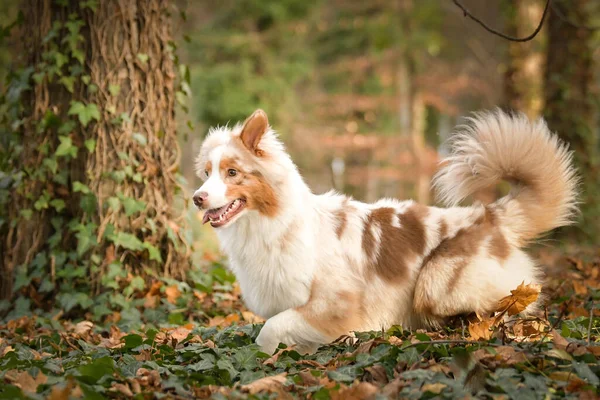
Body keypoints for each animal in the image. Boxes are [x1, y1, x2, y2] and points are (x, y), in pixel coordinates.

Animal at [195, 108, 580, 354]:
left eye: (232, 173)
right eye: (207, 173)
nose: (197, 198)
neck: (272, 225)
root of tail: (490, 215)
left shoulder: (337, 305)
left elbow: (269, 331)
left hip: (436, 281)